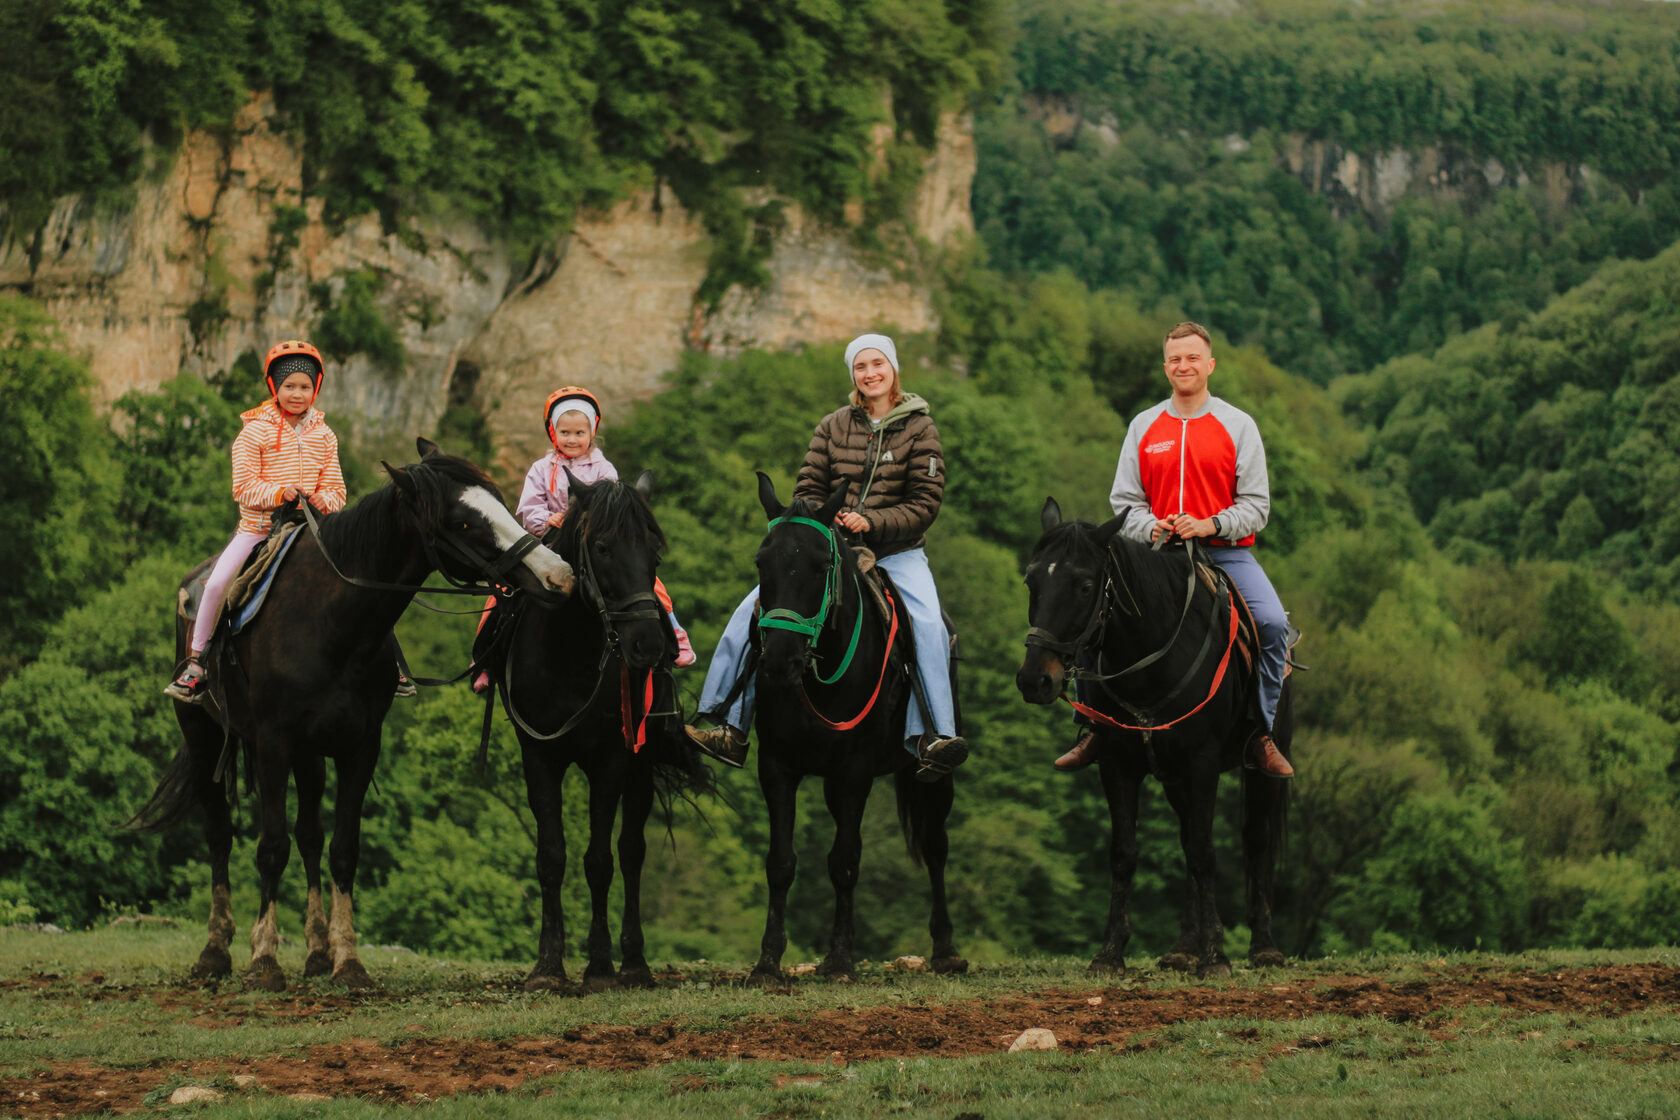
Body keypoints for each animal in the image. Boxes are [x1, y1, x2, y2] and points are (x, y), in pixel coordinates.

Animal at [132, 436, 577, 987]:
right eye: (463, 522)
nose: (558, 576)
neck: (331, 623)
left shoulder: (359, 747)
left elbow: (342, 850)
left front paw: (346, 960)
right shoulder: (274, 744)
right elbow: (270, 847)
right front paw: (264, 960)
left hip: (310, 756)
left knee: (309, 837)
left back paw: (316, 952)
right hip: (203, 735)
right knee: (220, 835)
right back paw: (215, 952)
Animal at [487, 470, 702, 994]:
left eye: (655, 554)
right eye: (602, 549)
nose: (648, 645)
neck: (569, 654)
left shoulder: (612, 760)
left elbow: (601, 860)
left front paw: (601, 965)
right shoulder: (539, 756)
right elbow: (551, 856)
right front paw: (547, 965)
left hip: (641, 766)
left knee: (631, 852)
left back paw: (635, 962)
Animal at [745, 476, 967, 987]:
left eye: (821, 564)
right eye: (762, 562)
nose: (779, 661)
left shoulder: (855, 771)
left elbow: (844, 860)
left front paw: (841, 960)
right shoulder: (777, 767)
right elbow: (780, 862)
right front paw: (768, 963)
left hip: (934, 776)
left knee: (936, 847)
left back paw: (946, 950)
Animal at [1007, 493, 1283, 973]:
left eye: (1084, 585)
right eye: (1031, 581)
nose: (1034, 680)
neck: (1152, 659)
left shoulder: (1202, 761)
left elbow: (1205, 852)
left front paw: (1216, 956)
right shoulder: (1118, 763)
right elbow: (1126, 853)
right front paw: (1110, 952)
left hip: (1259, 765)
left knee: (1255, 839)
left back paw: (1262, 945)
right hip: (1174, 778)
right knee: (1188, 836)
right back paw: (1184, 947)